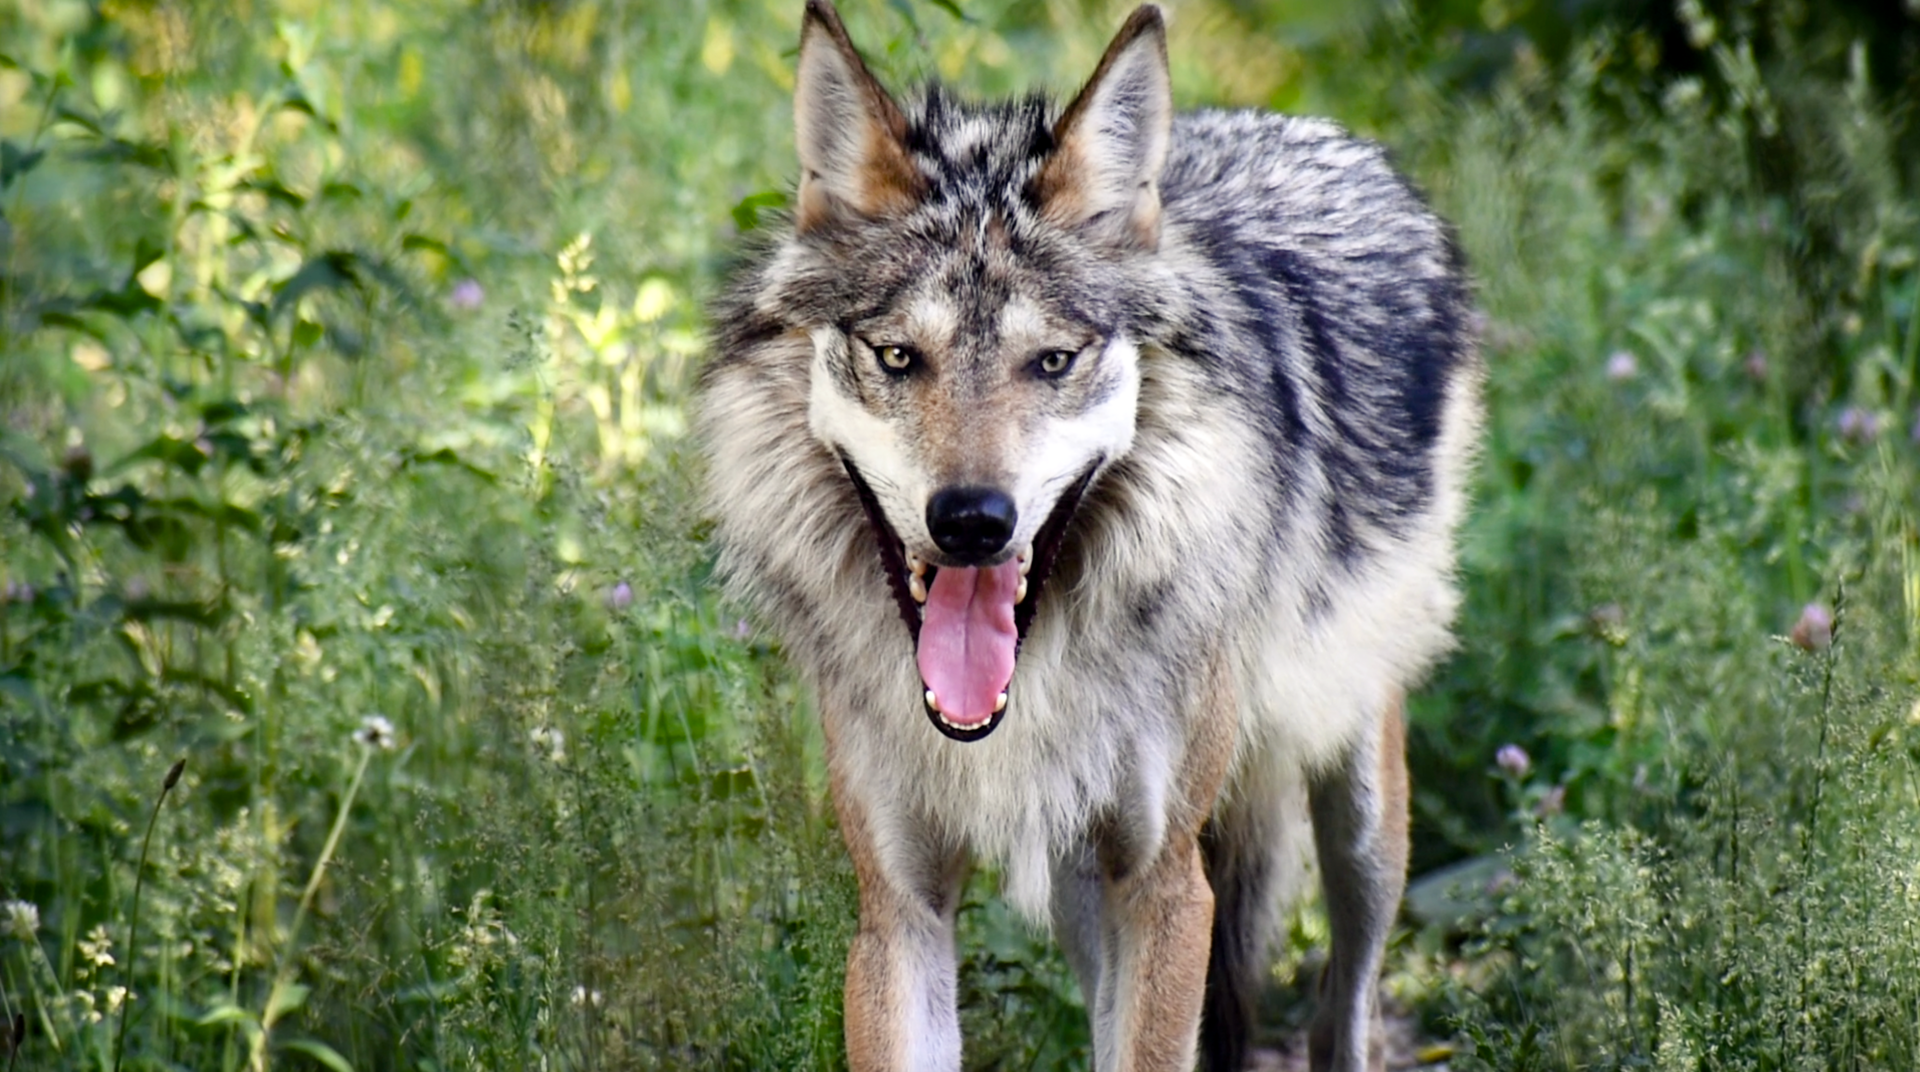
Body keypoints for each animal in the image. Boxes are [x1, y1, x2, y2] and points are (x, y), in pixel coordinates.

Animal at [697, 2, 1480, 1069]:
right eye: (897, 357)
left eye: (1053, 361)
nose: (972, 521)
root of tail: (1293, 125)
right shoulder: (900, 909)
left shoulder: (1165, 884)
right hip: (1078, 887)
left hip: (1356, 815)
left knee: (1341, 1005)